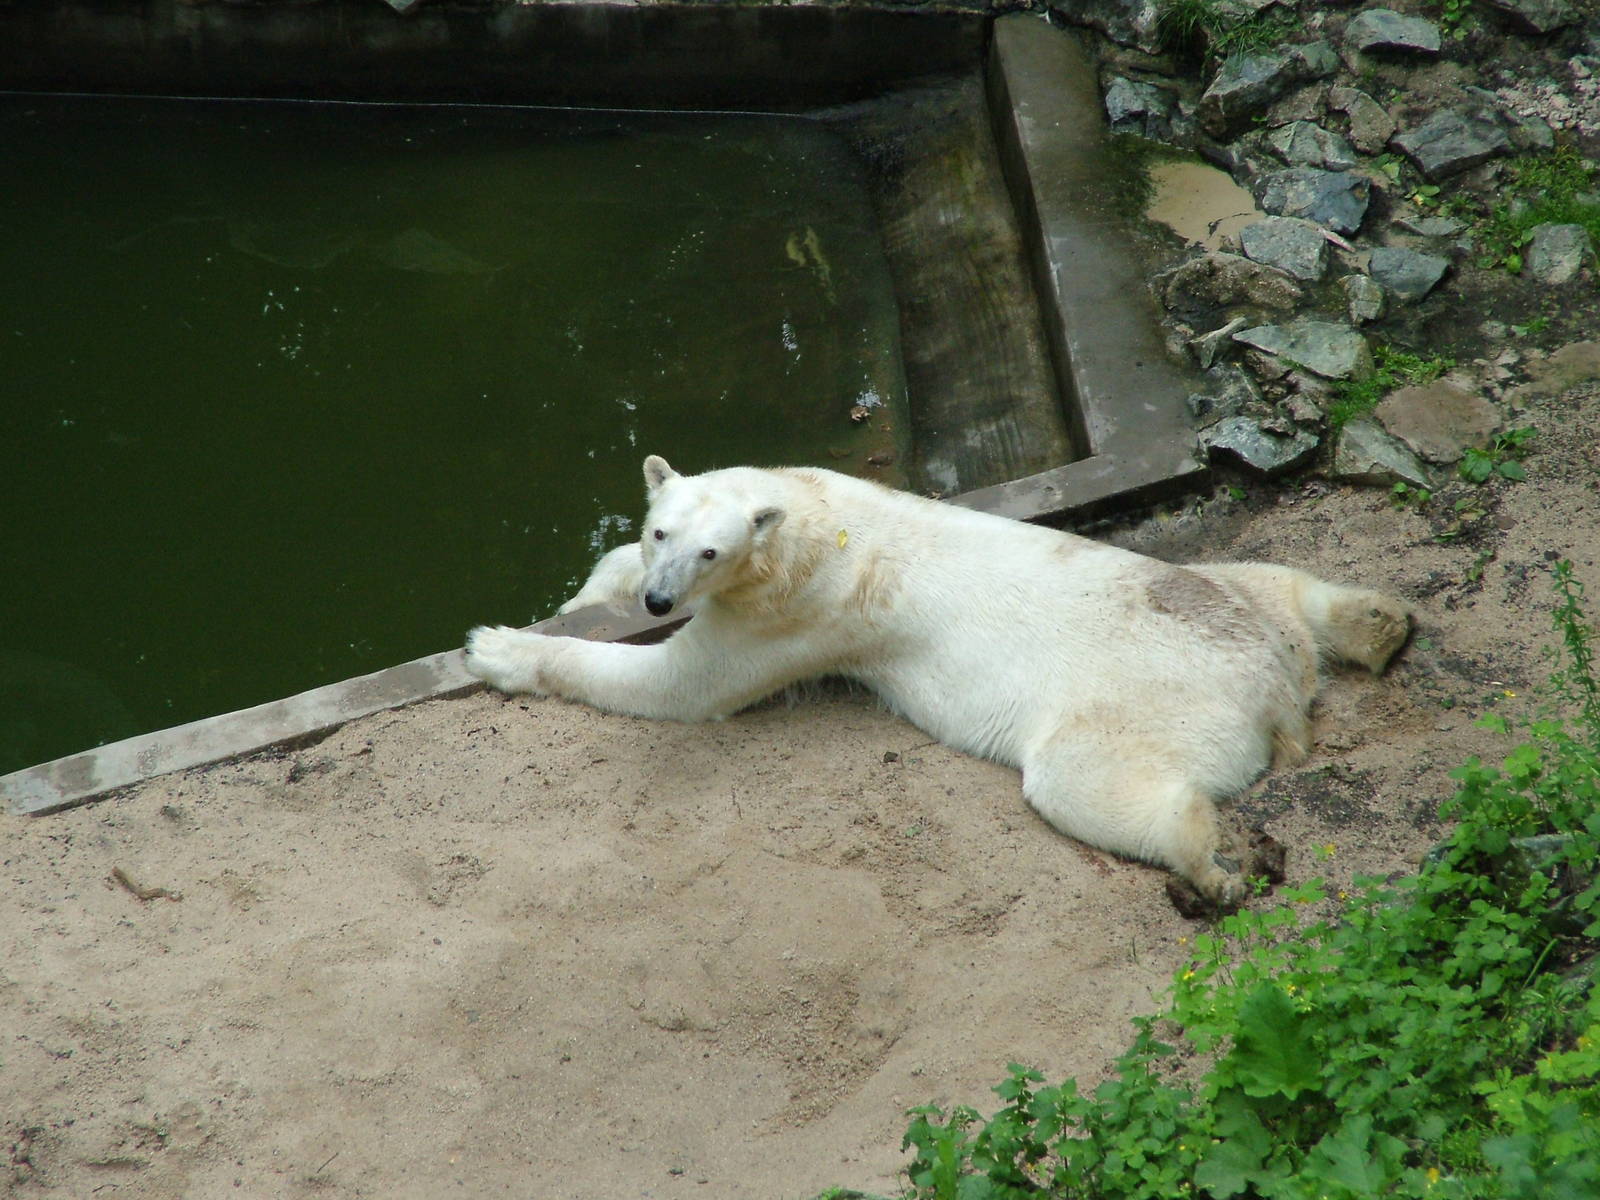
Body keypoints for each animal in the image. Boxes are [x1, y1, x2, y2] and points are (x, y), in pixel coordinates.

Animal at [465, 455, 1412, 909]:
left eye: (711, 550)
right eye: (661, 532)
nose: (663, 597)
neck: (816, 518)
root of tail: (1276, 688)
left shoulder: (799, 612)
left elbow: (682, 687)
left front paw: (494, 647)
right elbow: (603, 577)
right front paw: (582, 596)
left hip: (1153, 700)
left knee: (1086, 780)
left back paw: (1206, 867)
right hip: (1228, 593)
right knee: (1279, 581)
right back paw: (1379, 622)